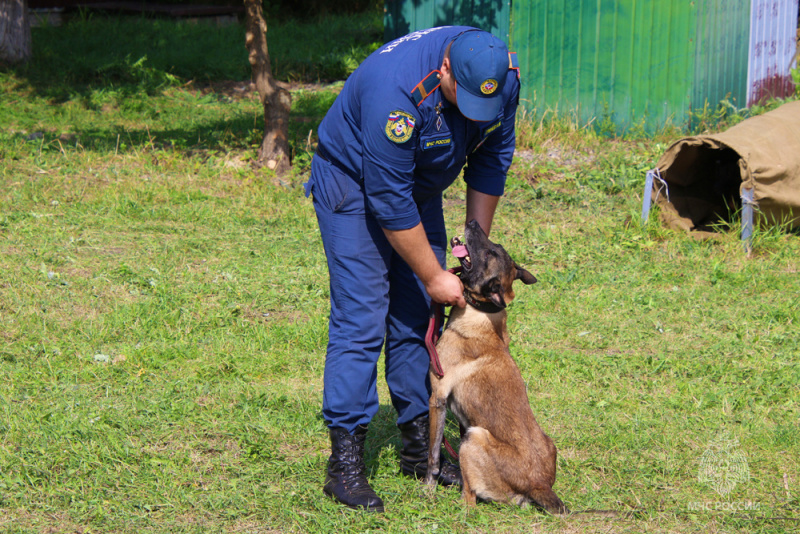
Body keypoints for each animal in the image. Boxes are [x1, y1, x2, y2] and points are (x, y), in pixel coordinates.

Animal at [424, 220, 568, 516]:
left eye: (490, 253)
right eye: (496, 246)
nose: (473, 222)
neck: (482, 312)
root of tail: (539, 485)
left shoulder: (438, 398)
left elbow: (433, 455)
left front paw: (427, 489)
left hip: (474, 437)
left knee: (469, 500)